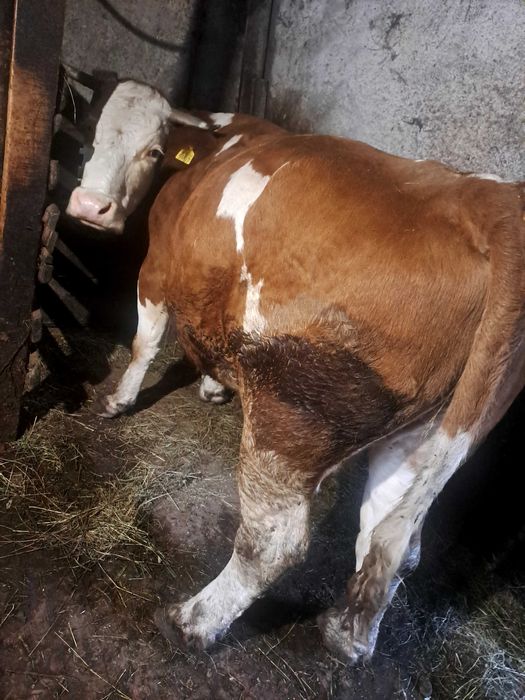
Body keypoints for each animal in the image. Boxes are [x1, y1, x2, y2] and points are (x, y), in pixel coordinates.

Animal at [67, 80, 525, 662]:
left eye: (152, 151)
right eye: (91, 137)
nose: (90, 207)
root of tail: (490, 203)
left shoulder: (158, 265)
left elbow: (145, 342)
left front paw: (118, 401)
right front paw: (212, 386)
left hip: (295, 405)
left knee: (275, 540)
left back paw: (191, 622)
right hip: (430, 429)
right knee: (391, 539)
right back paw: (348, 639)